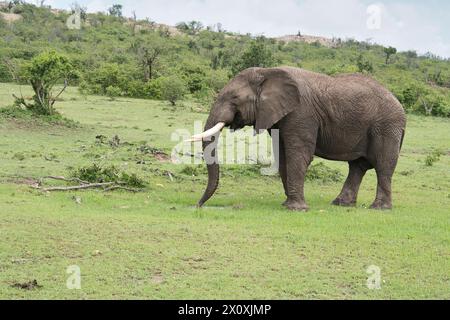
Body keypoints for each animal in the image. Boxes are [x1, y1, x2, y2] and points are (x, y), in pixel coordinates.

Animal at [188, 67, 406, 211]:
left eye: (234, 98)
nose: (198, 205)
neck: (267, 72)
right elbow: (283, 155)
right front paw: (288, 204)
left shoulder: (301, 113)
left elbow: (298, 155)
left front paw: (296, 208)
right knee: (357, 167)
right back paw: (341, 204)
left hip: (387, 127)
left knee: (383, 166)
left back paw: (379, 208)